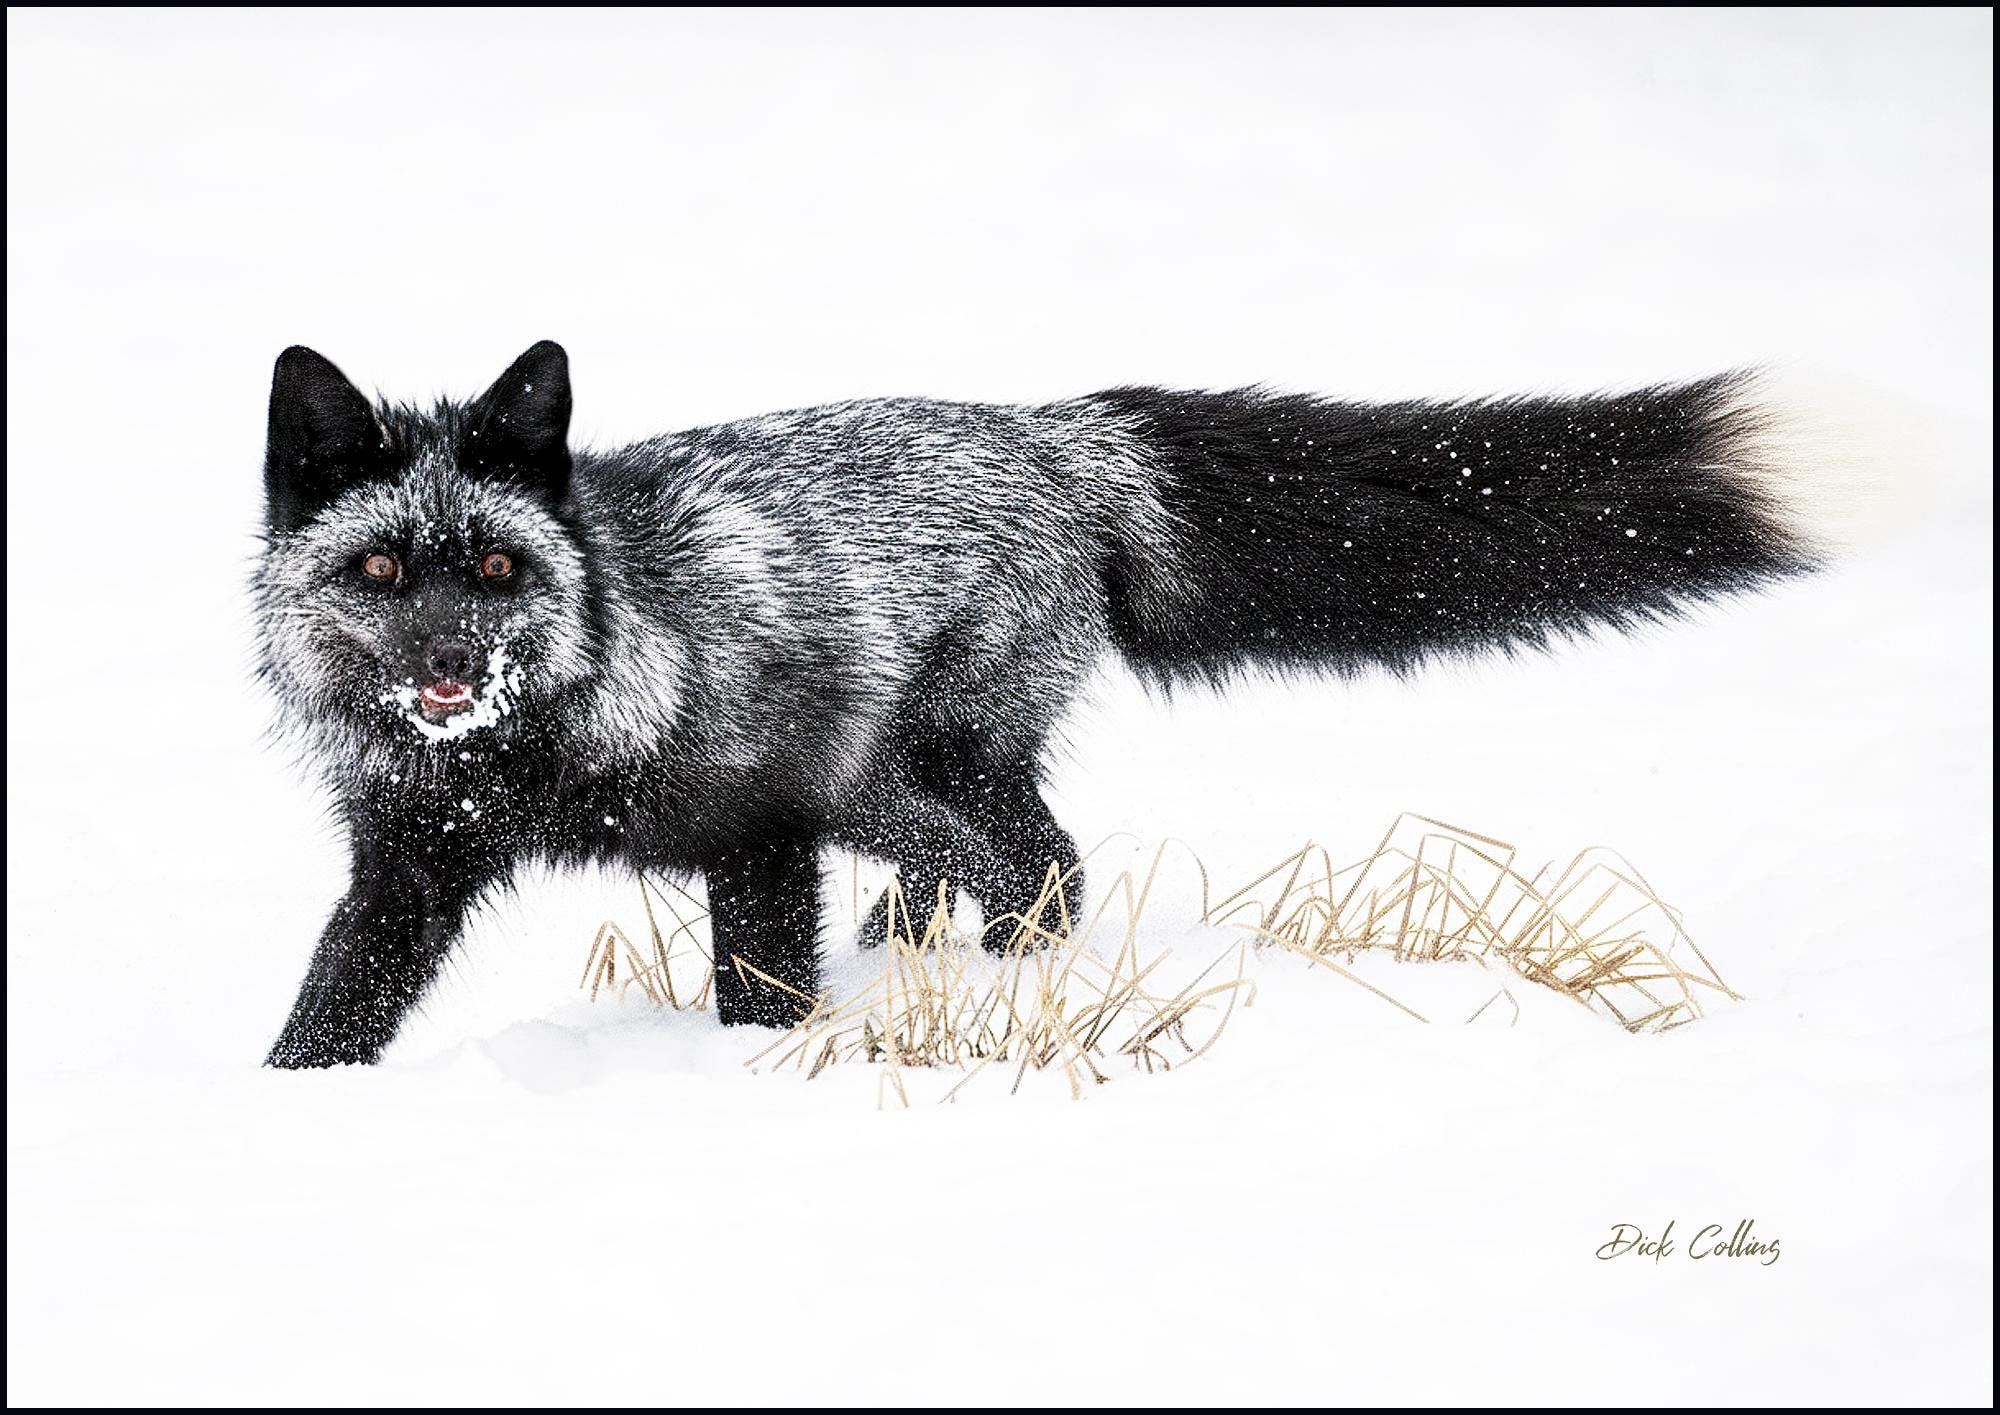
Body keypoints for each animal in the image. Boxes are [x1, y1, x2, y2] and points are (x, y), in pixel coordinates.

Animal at [258, 341, 1823, 1068]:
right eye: (383, 567)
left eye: (497, 566)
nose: (449, 665)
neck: (526, 757)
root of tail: (1067, 434)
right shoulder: (407, 861)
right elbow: (332, 1001)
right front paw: (290, 1109)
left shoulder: (771, 826)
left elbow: (758, 993)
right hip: (921, 771)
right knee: (999, 865)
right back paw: (929, 961)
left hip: (930, 755)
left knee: (1045, 866)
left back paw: (1004, 976)